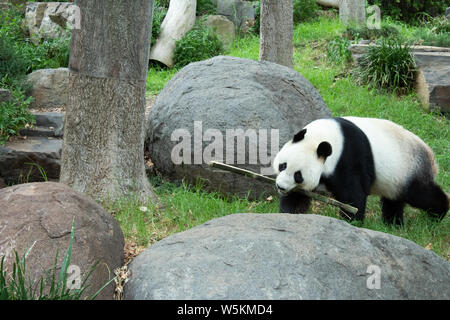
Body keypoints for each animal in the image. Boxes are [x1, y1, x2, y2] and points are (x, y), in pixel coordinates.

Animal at [272, 116, 448, 224]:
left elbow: (353, 193)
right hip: (396, 177)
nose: (281, 187)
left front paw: (351, 221)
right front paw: (289, 213)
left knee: (420, 194)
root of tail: (431, 156)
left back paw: (438, 213)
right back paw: (392, 224)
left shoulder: (349, 156)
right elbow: (297, 196)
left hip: (409, 169)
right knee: (394, 200)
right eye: (283, 165)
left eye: (298, 176)